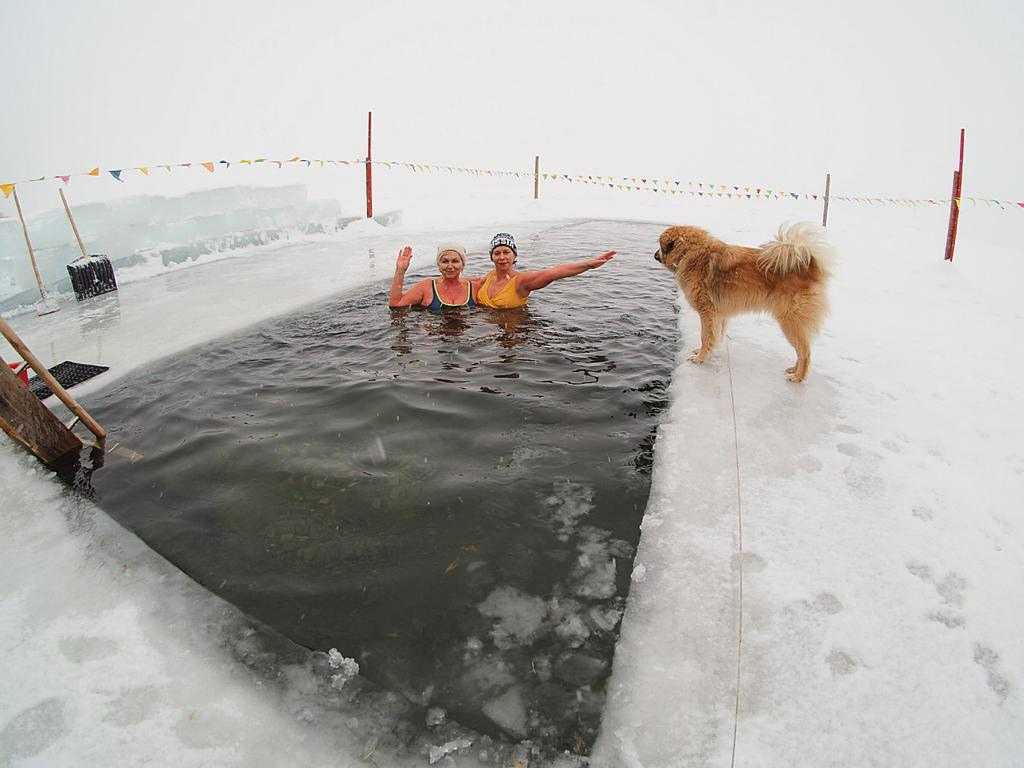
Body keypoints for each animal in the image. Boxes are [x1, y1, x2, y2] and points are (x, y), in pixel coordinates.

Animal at [655, 224, 831, 382]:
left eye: (661, 247)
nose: (654, 255)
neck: (690, 253)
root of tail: (809, 265)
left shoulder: (707, 313)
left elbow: (705, 337)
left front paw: (700, 358)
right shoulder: (719, 315)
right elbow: (714, 337)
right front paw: (706, 352)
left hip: (790, 321)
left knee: (805, 353)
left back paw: (798, 377)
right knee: (801, 352)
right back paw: (794, 370)